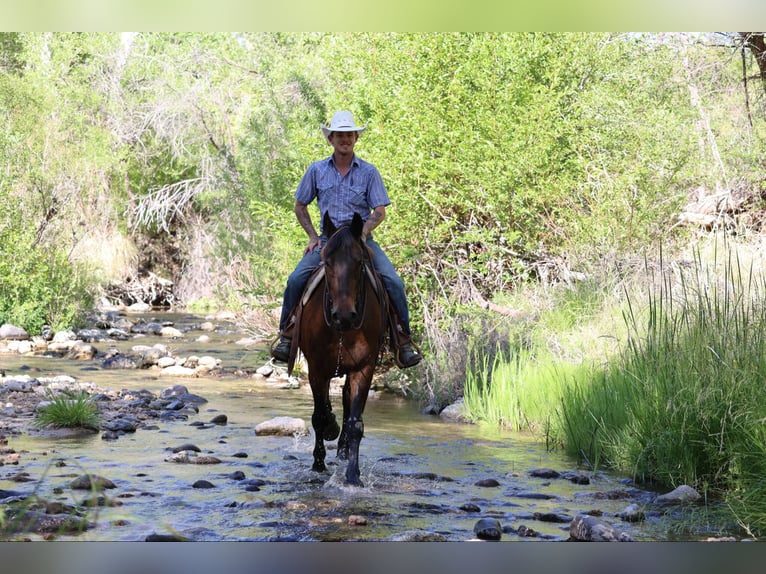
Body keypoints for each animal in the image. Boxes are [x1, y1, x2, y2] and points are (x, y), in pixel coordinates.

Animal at [292, 211, 386, 486]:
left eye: (359, 261)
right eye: (327, 261)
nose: (343, 316)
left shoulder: (364, 369)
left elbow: (355, 422)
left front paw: (353, 476)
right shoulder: (316, 369)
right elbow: (320, 416)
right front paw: (318, 464)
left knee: (346, 400)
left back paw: (344, 452)